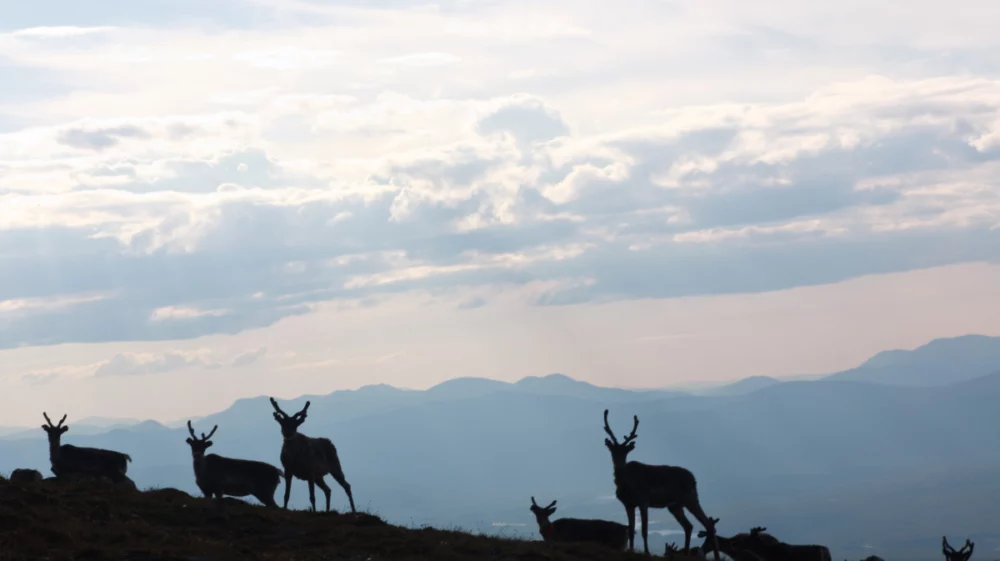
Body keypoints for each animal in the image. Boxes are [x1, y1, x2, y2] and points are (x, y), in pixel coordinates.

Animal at [602, 409, 718, 558]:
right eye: (612, 450)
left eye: (625, 451)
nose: (617, 462)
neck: (627, 486)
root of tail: (694, 479)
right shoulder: (628, 504)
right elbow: (631, 529)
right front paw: (631, 550)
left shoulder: (643, 501)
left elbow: (644, 530)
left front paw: (646, 552)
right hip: (675, 505)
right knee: (689, 526)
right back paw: (686, 553)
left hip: (690, 497)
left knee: (708, 524)